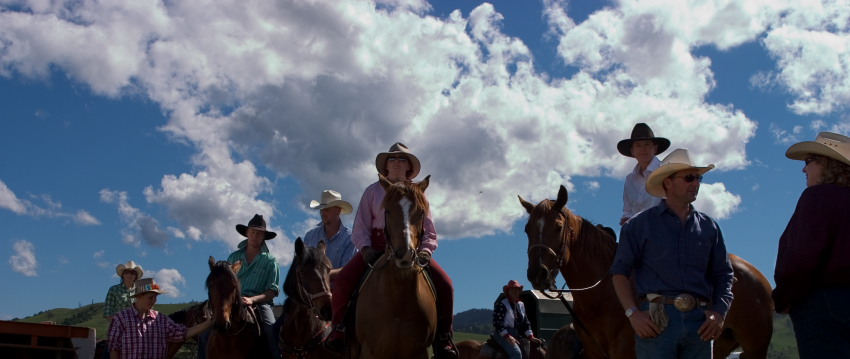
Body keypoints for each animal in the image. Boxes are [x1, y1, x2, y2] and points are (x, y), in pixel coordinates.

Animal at [352, 176, 438, 359]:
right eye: (388, 211)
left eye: (421, 212)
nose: (405, 254)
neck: (399, 297)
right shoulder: (369, 351)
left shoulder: (420, 352)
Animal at [512, 186, 772, 359]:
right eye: (527, 229)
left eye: (558, 227)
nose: (537, 274)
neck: (604, 294)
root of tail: (758, 277)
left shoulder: (624, 350)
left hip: (754, 348)